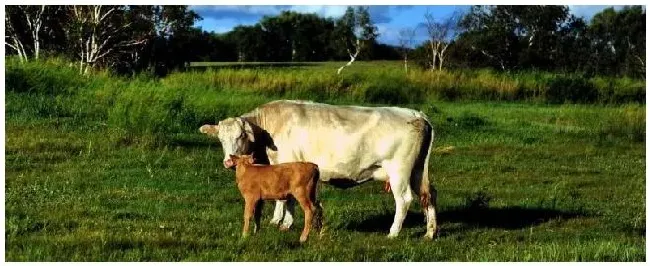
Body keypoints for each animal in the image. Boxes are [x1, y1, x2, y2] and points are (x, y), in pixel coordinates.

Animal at [199, 100, 436, 239]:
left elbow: (285, 199)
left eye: (241, 136)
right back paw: (430, 232)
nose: (228, 162)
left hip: (399, 171)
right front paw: (280, 221)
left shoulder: (287, 163)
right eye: (220, 139)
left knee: (404, 200)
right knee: (429, 194)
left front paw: (283, 223)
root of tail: (415, 113)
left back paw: (393, 233)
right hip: (417, 170)